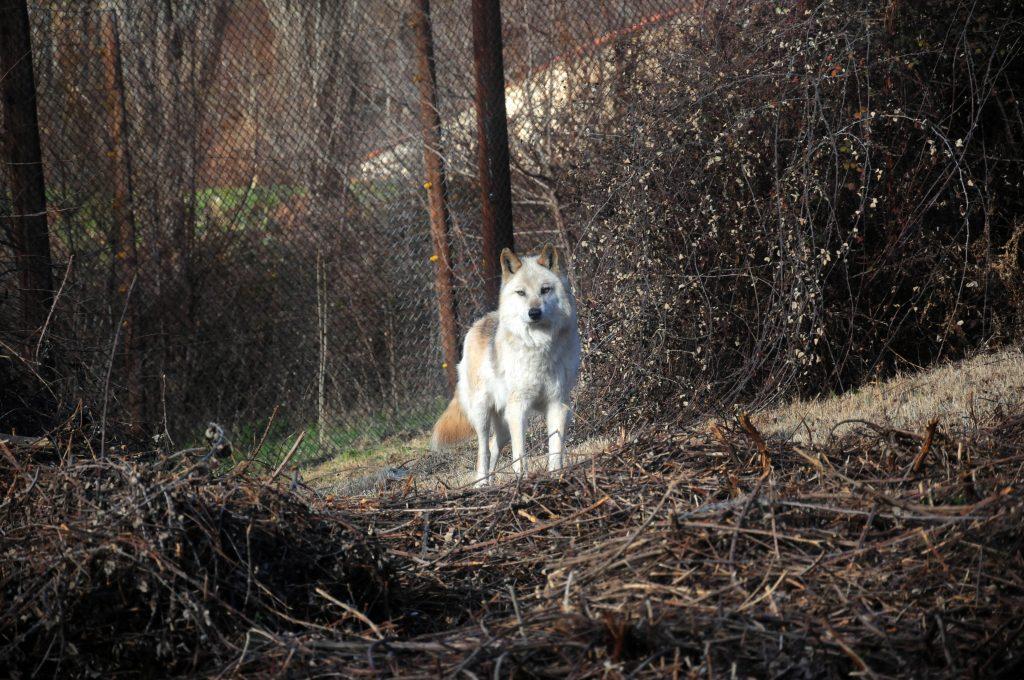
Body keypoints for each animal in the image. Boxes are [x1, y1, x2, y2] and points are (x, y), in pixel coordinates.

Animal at [428, 244, 581, 483]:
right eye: (521, 293)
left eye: (545, 290)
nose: (534, 312)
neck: (539, 346)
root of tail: (479, 322)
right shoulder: (518, 409)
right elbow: (520, 455)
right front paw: (522, 480)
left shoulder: (558, 405)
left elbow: (555, 451)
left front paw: (556, 477)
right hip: (483, 415)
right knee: (483, 450)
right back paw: (481, 484)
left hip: (504, 425)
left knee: (493, 446)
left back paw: (490, 482)